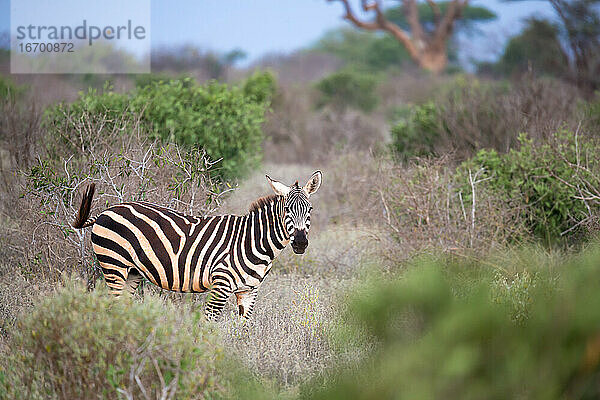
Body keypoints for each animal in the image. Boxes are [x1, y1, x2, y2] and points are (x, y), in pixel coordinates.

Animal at [72, 170, 324, 320]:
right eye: (287, 210)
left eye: (310, 210)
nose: (300, 243)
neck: (255, 242)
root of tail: (105, 211)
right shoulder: (221, 285)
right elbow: (210, 326)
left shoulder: (249, 291)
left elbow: (244, 331)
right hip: (113, 264)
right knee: (111, 306)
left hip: (133, 272)